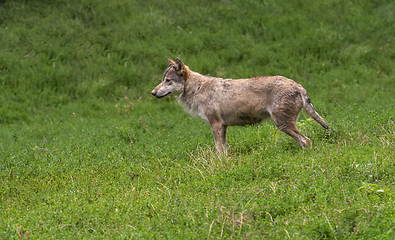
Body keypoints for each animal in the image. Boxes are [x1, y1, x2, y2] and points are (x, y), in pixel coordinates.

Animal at [152, 56, 332, 154]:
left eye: (168, 81)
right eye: (162, 80)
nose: (153, 93)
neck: (198, 89)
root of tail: (298, 85)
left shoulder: (216, 125)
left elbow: (219, 151)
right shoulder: (223, 127)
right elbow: (223, 150)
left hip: (282, 125)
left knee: (306, 141)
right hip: (285, 126)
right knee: (303, 142)